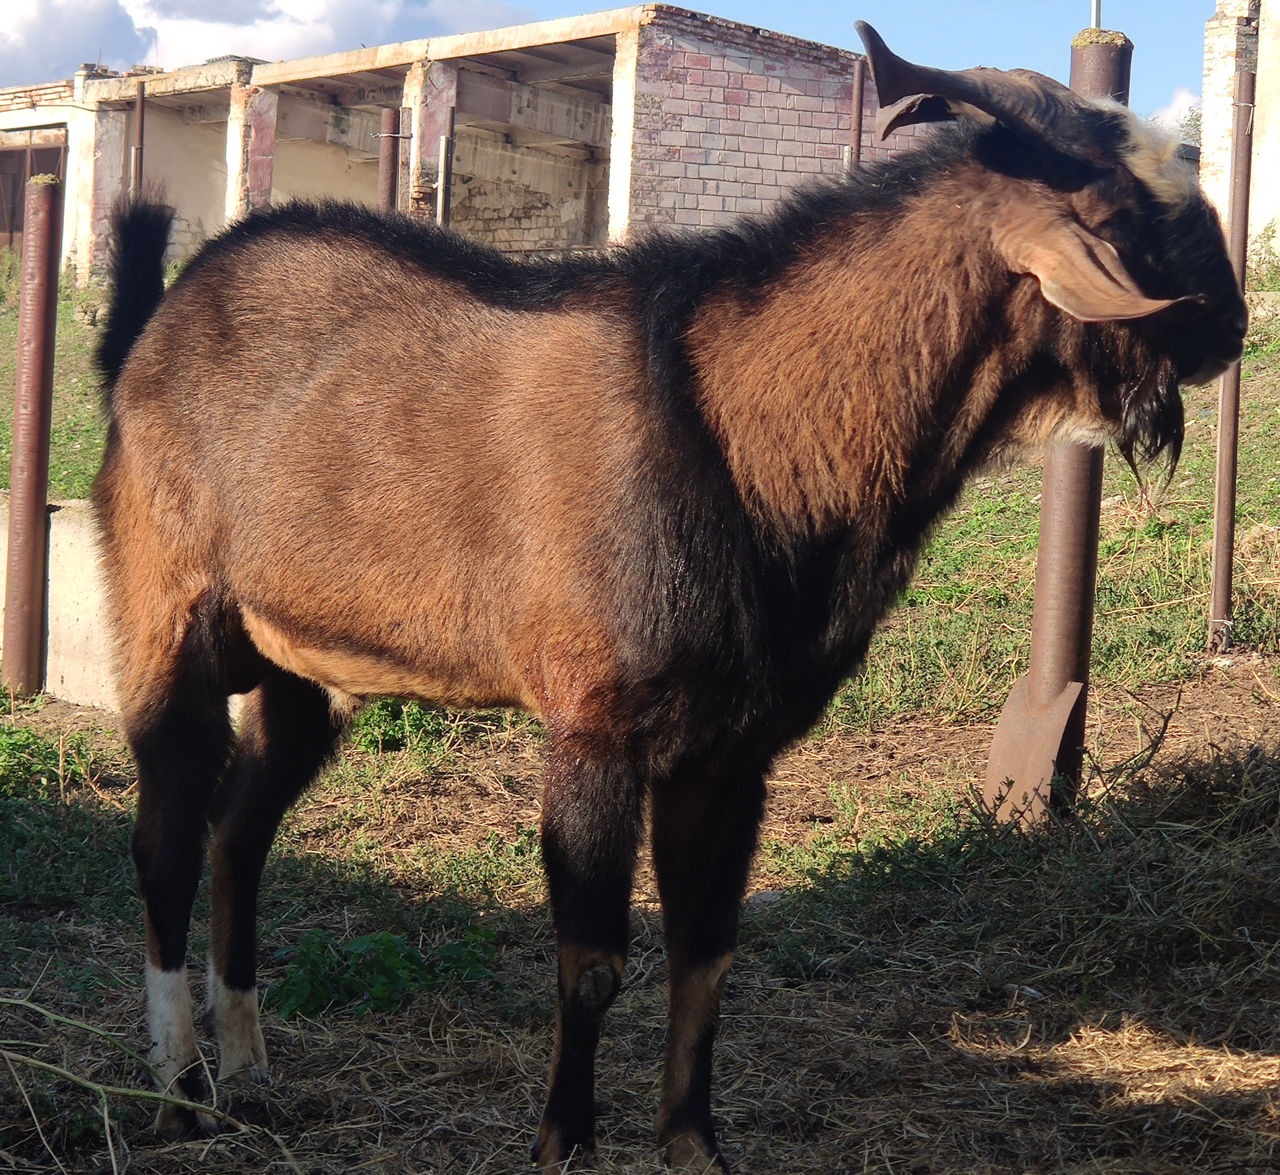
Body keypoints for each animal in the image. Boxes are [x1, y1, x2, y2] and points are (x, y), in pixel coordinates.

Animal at [94, 23, 1244, 1172]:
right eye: (1124, 214)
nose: (1233, 323)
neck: (742, 430)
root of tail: (160, 322)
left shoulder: (733, 745)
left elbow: (707, 951)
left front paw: (693, 1141)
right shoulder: (595, 724)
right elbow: (594, 959)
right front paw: (563, 1140)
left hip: (301, 666)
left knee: (239, 832)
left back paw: (248, 1071)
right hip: (164, 611)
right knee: (164, 839)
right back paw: (175, 1087)